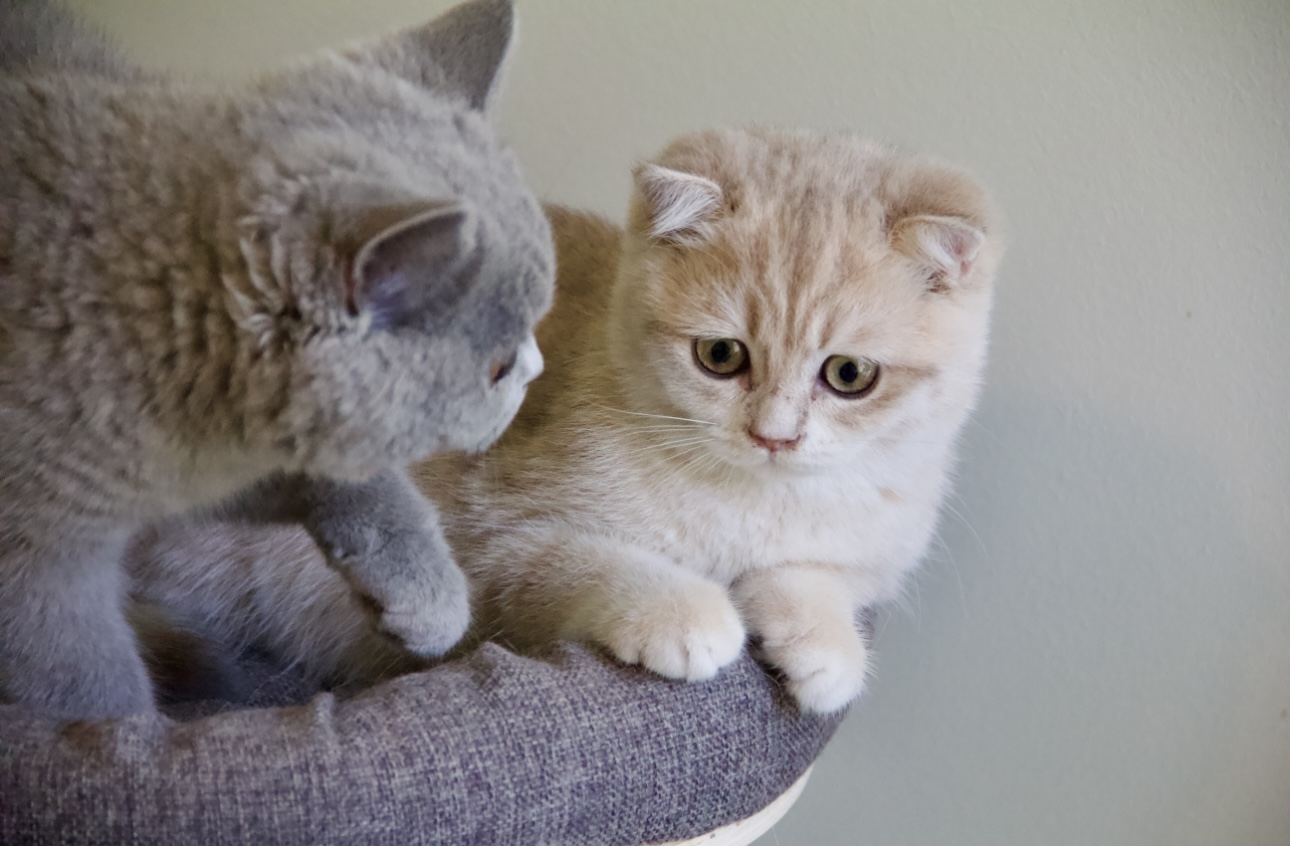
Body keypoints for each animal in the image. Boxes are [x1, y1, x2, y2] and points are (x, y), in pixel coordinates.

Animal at [0, 0, 549, 722]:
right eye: (496, 367)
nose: (537, 370)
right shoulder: (36, 567)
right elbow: (86, 682)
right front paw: (130, 737)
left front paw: (428, 596)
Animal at [128, 125, 995, 711]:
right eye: (721, 356)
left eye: (849, 375)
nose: (772, 436)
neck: (746, 499)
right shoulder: (485, 545)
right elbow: (577, 564)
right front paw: (684, 611)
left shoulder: (871, 547)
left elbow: (819, 575)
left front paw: (824, 646)